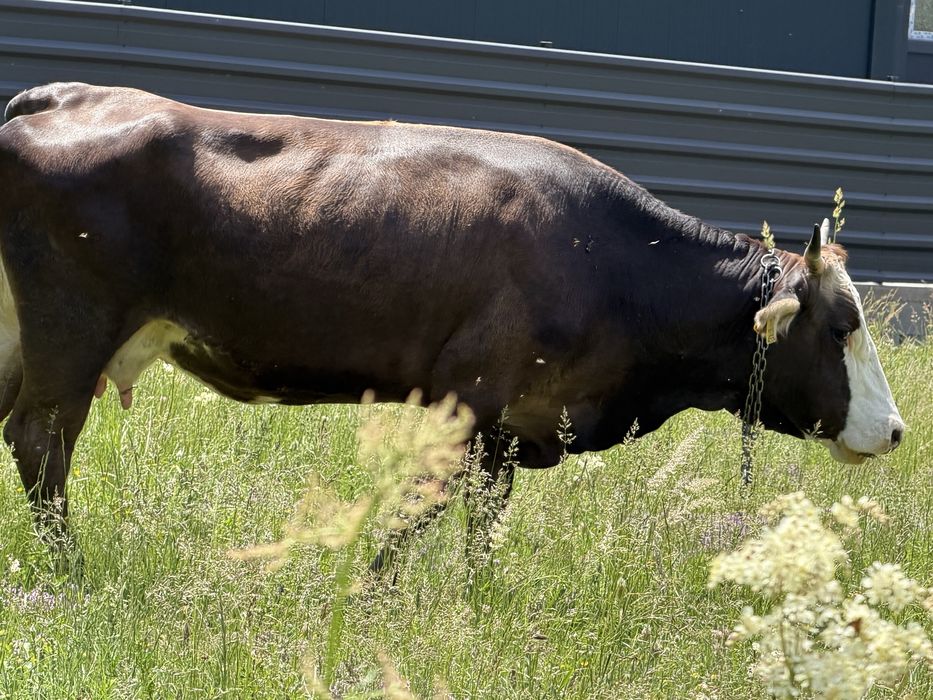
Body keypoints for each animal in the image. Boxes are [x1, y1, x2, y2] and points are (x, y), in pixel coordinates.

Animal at [0, 83, 905, 548]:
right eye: (839, 327)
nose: (896, 432)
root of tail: (66, 94)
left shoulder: (507, 432)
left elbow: (481, 532)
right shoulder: (462, 404)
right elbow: (408, 522)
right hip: (71, 333)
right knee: (43, 443)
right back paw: (67, 573)